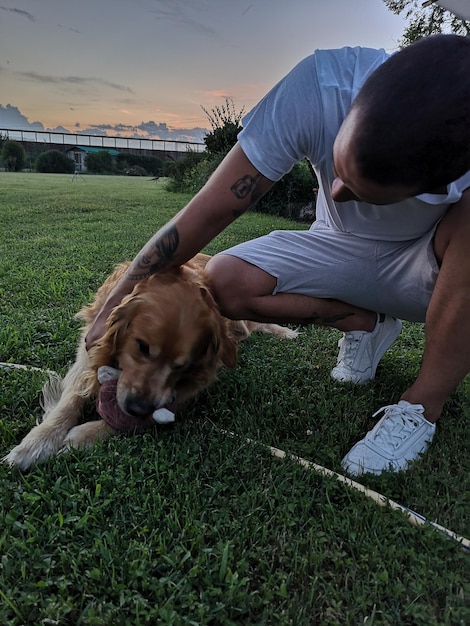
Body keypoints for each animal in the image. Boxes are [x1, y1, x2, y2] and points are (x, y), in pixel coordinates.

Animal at [3, 254, 296, 468]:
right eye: (142, 347)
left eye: (181, 365)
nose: (138, 407)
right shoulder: (88, 351)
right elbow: (70, 399)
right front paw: (36, 443)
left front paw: (83, 435)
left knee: (254, 325)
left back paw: (285, 332)